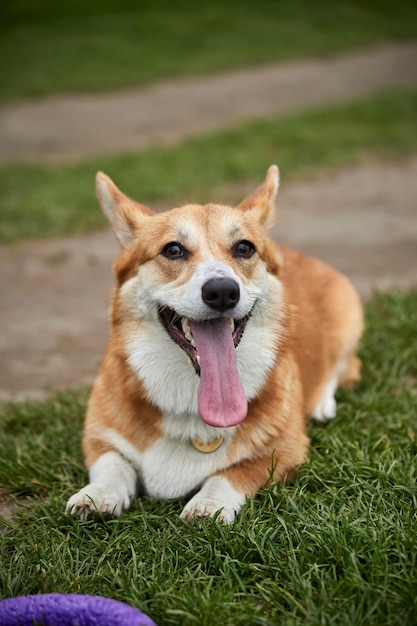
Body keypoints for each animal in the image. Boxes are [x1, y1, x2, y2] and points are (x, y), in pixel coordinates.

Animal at [66, 165, 362, 520]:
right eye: (173, 250)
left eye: (244, 248)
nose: (222, 291)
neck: (192, 400)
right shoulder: (99, 437)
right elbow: (112, 463)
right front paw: (96, 495)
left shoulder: (285, 450)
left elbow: (232, 472)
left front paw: (207, 504)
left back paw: (320, 403)